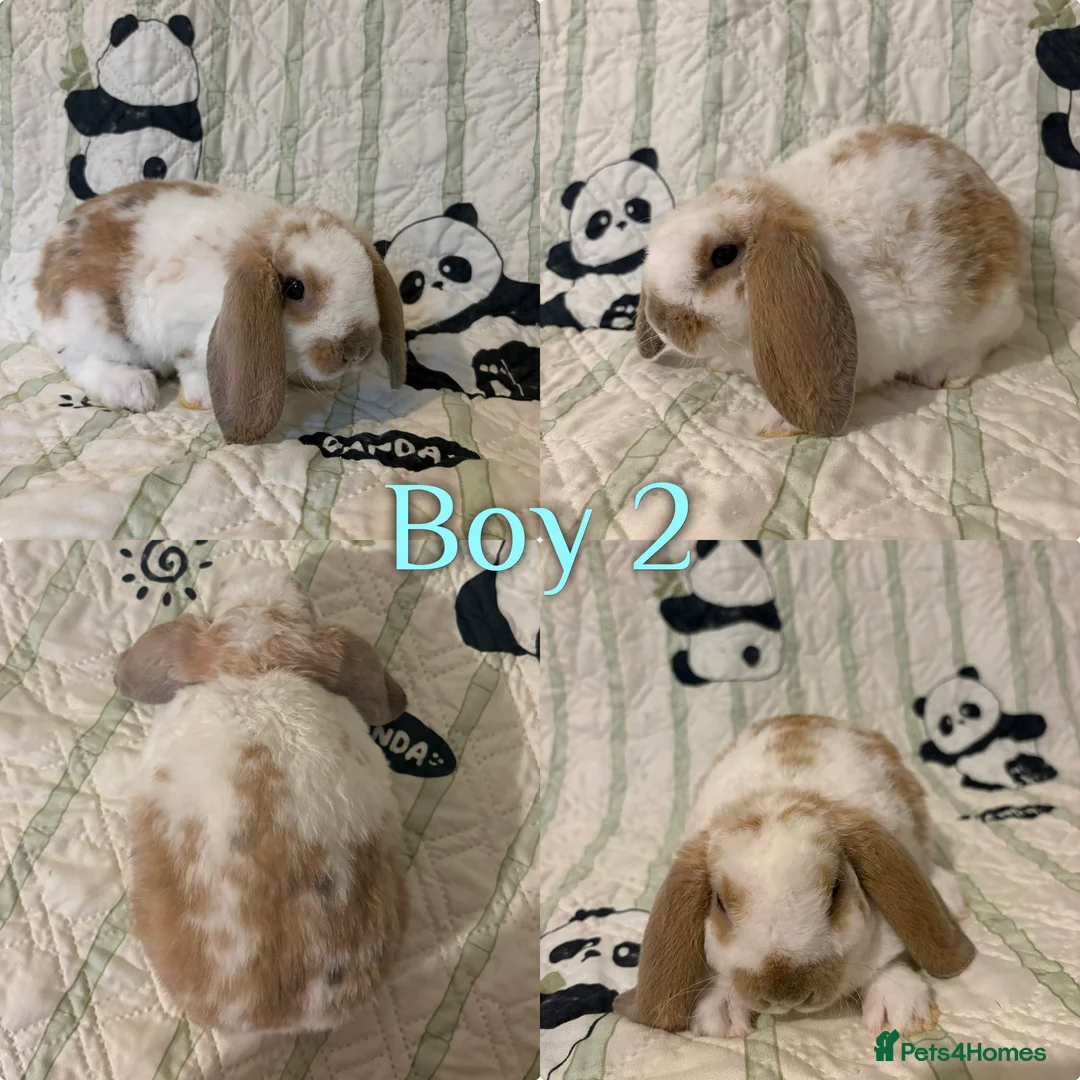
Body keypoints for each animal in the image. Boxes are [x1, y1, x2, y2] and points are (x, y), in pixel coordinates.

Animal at [34, 179, 407, 444]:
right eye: (294, 288)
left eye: (366, 272)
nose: (356, 351)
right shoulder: (183, 330)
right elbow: (192, 366)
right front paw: (204, 399)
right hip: (92, 322)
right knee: (83, 362)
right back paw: (135, 390)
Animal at [617, 715, 975, 1038]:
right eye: (720, 903)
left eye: (836, 889)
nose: (786, 995)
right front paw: (719, 1015)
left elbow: (890, 960)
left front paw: (899, 1010)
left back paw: (951, 899)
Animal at [635, 122, 1024, 436]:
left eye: (722, 255)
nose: (659, 319)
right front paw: (720, 365)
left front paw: (775, 424)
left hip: (982, 318)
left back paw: (941, 374)